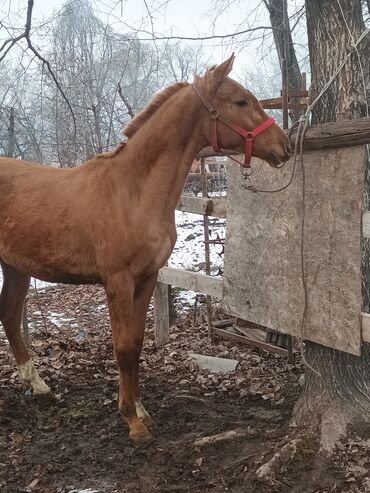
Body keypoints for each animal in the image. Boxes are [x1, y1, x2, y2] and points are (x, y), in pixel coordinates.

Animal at [0, 55, 290, 444]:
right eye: (241, 102)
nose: (283, 146)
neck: (132, 191)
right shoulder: (118, 282)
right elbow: (123, 347)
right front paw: (132, 422)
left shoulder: (148, 278)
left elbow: (136, 344)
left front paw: (141, 410)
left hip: (16, 267)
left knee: (10, 315)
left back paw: (40, 386)